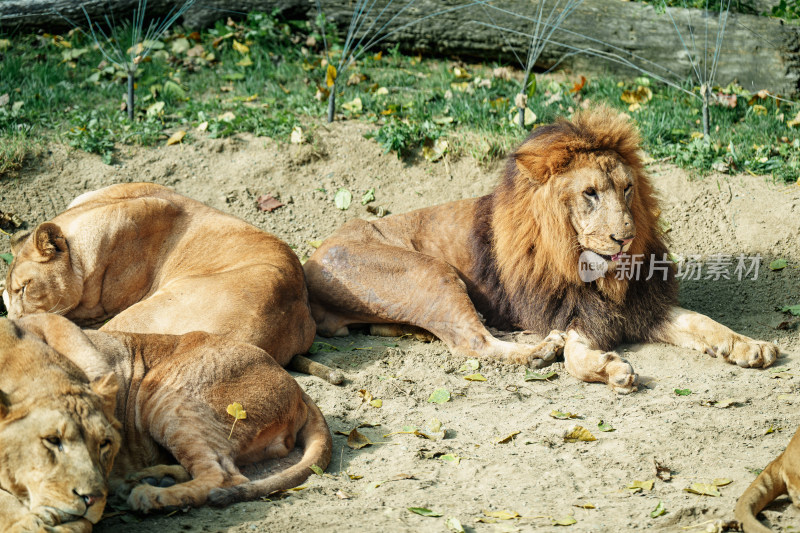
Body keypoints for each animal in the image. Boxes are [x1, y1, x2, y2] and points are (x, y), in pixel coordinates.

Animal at [0, 314, 332, 528]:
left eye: (104, 444)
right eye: (51, 442)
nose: (90, 498)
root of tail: (295, 384)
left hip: (166, 398)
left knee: (226, 475)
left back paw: (152, 494)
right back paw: (149, 479)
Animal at [304, 108, 780, 390]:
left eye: (627, 189)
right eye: (590, 193)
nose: (625, 237)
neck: (598, 274)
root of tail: (311, 261)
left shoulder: (642, 307)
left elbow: (702, 321)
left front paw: (748, 346)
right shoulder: (574, 313)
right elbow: (575, 357)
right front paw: (609, 369)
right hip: (432, 274)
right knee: (471, 341)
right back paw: (538, 351)